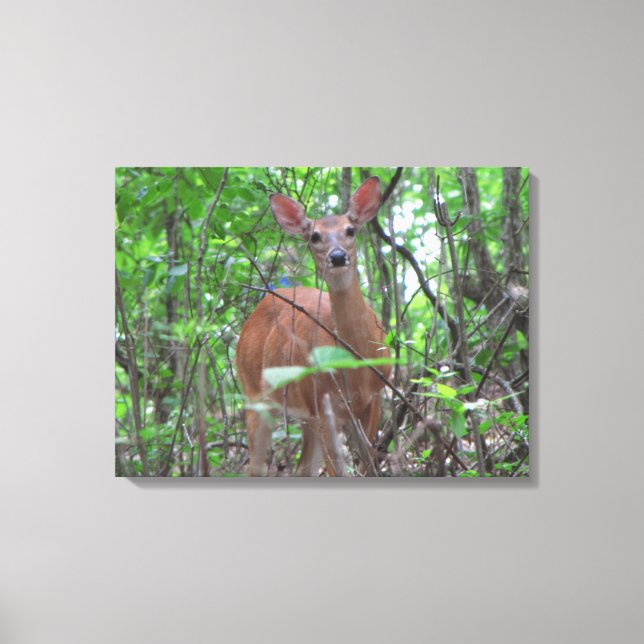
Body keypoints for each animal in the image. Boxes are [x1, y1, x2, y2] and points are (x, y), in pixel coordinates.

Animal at [235, 176, 391, 476]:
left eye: (350, 230)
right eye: (315, 236)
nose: (338, 256)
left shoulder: (374, 398)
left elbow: (368, 466)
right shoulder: (322, 403)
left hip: (304, 412)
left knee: (303, 468)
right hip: (255, 394)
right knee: (256, 467)